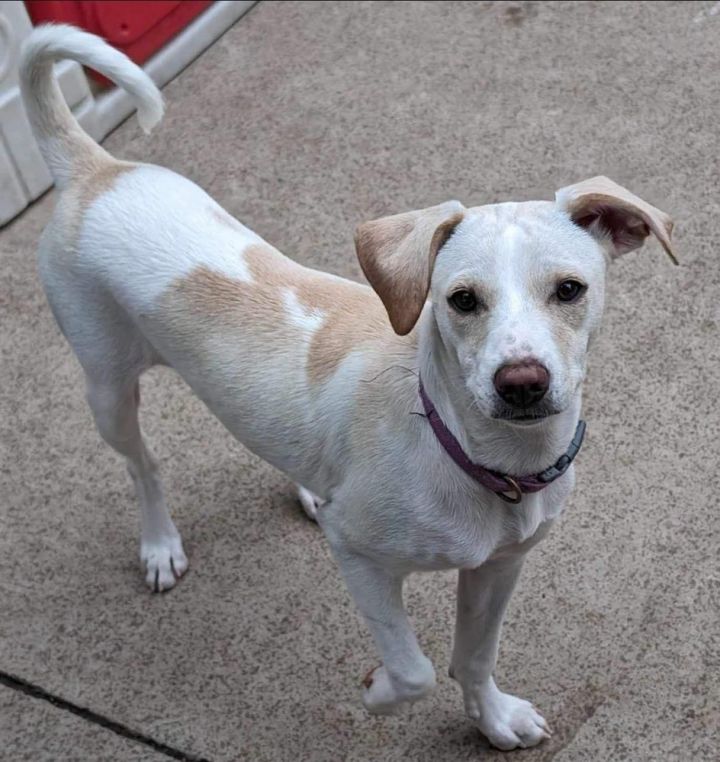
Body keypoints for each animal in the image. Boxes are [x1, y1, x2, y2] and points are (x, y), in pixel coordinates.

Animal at [19, 25, 676, 748]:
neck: (473, 454)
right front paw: (380, 691)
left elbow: (474, 656)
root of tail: (94, 169)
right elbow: (415, 670)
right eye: (462, 300)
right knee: (143, 466)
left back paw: (306, 486)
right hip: (107, 389)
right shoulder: (359, 555)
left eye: (569, 289)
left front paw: (493, 718)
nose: (522, 384)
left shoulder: (499, 566)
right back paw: (160, 544)